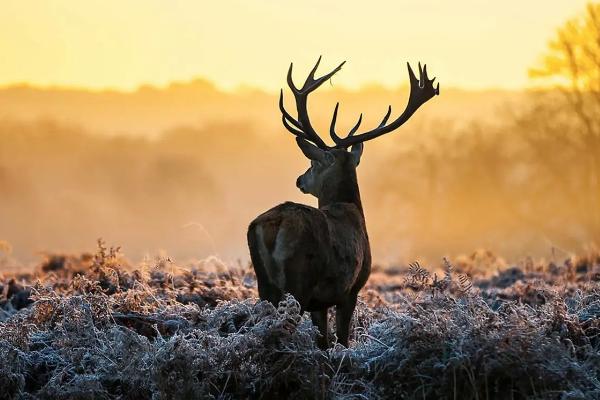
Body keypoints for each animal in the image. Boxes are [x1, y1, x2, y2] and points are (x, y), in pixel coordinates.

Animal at [246, 57, 438, 348]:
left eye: (313, 163)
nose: (300, 179)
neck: (351, 208)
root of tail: (272, 224)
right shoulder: (350, 289)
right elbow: (342, 339)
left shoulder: (321, 302)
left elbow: (323, 341)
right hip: (298, 280)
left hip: (265, 285)